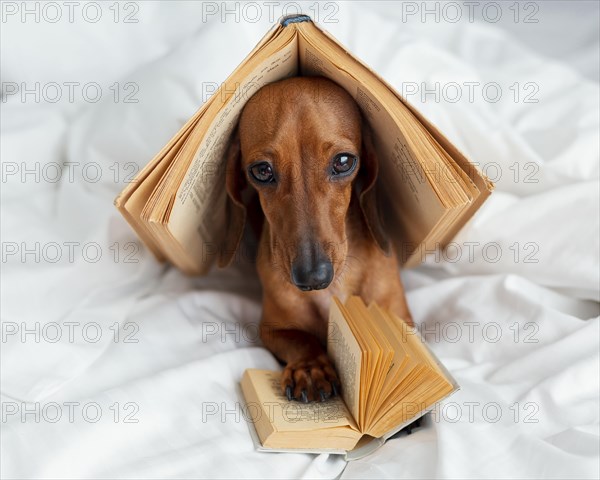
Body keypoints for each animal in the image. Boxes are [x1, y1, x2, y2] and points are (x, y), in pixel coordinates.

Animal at [219, 77, 412, 404]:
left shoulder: (401, 316)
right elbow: (301, 339)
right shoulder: (271, 328)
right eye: (262, 170)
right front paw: (310, 367)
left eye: (344, 161)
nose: (312, 277)